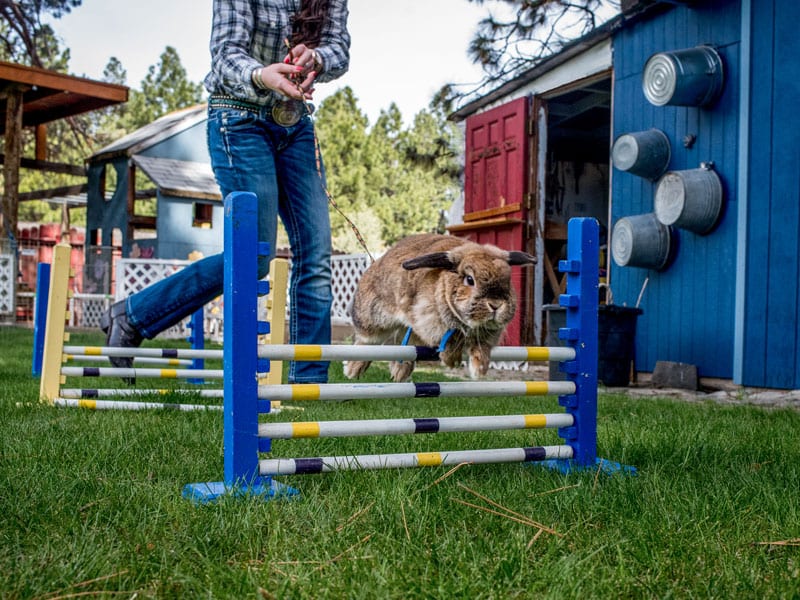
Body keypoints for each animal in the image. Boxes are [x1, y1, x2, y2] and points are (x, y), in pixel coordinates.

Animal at [344, 232, 536, 382]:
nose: (496, 305)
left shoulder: (487, 336)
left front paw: (479, 370)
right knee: (367, 341)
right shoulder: (429, 322)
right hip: (373, 319)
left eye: (508, 281)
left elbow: (480, 349)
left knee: (402, 345)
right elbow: (450, 339)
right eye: (470, 279)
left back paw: (400, 373)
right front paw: (452, 361)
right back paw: (352, 370)